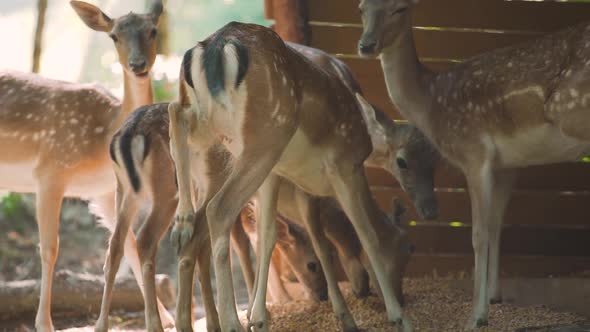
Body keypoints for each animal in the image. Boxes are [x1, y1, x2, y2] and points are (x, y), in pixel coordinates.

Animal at [0, 1, 166, 330]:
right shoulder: (50, 170)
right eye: (114, 36)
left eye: (153, 30)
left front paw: (166, 318)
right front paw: (44, 323)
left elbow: (128, 246)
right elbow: (49, 248)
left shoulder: (102, 191)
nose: (138, 64)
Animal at [169, 23, 414, 332]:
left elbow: (273, 237)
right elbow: (365, 234)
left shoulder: (278, 177)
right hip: (267, 135)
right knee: (219, 210)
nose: (403, 298)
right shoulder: (345, 167)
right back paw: (231, 321)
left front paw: (259, 318)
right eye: (407, 248)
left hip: (217, 129)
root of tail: (215, 46)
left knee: (176, 112)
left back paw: (182, 223)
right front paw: (397, 317)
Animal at [358, 0, 590, 328]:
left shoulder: (474, 153)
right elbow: (495, 225)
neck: (429, 102)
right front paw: (494, 297)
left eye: (400, 9)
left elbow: (478, 235)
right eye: (361, 8)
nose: (366, 45)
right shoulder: (507, 164)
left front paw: (477, 317)